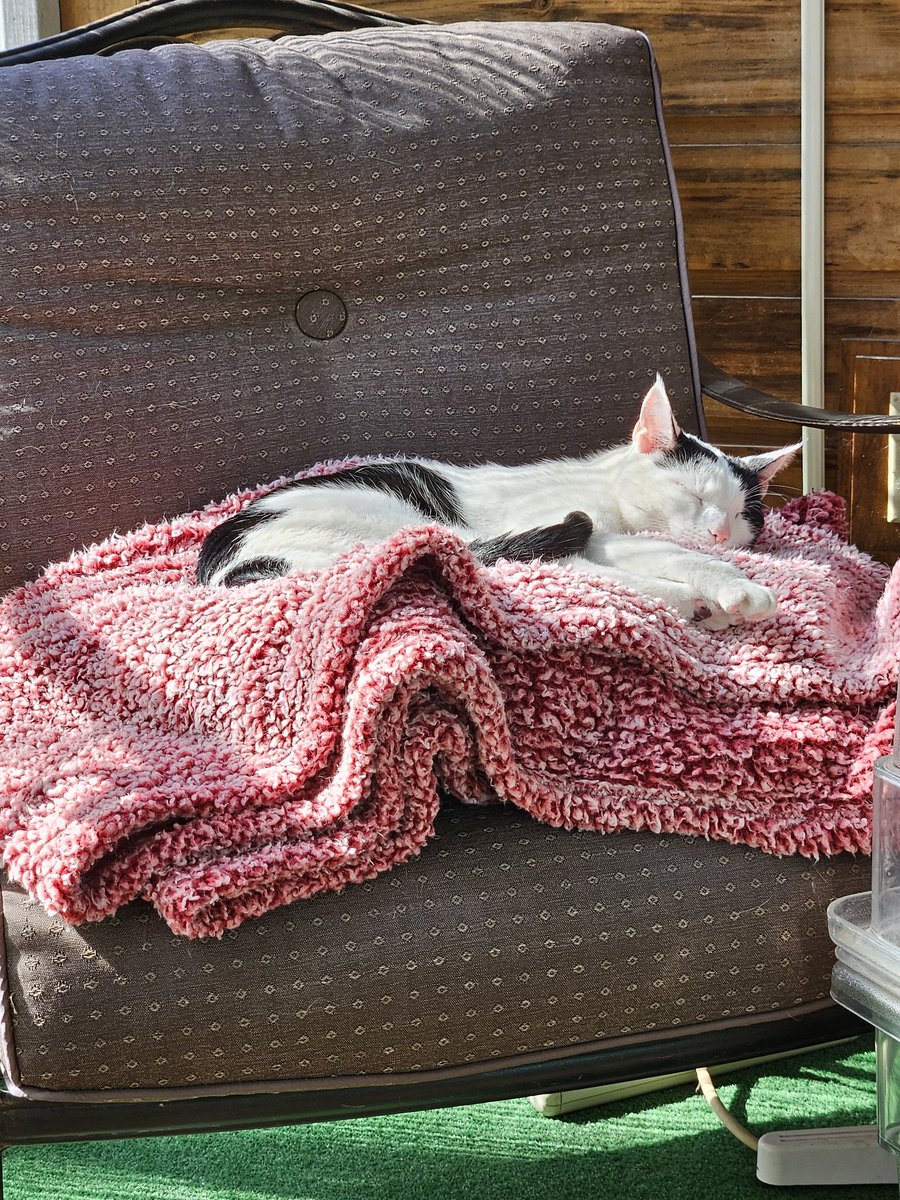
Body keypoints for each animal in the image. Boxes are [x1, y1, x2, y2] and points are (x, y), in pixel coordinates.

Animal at [196, 379, 796, 633]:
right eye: (695, 497)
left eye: (741, 514)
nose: (721, 534)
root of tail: (222, 564)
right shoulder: (581, 528)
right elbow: (669, 558)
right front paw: (730, 589)